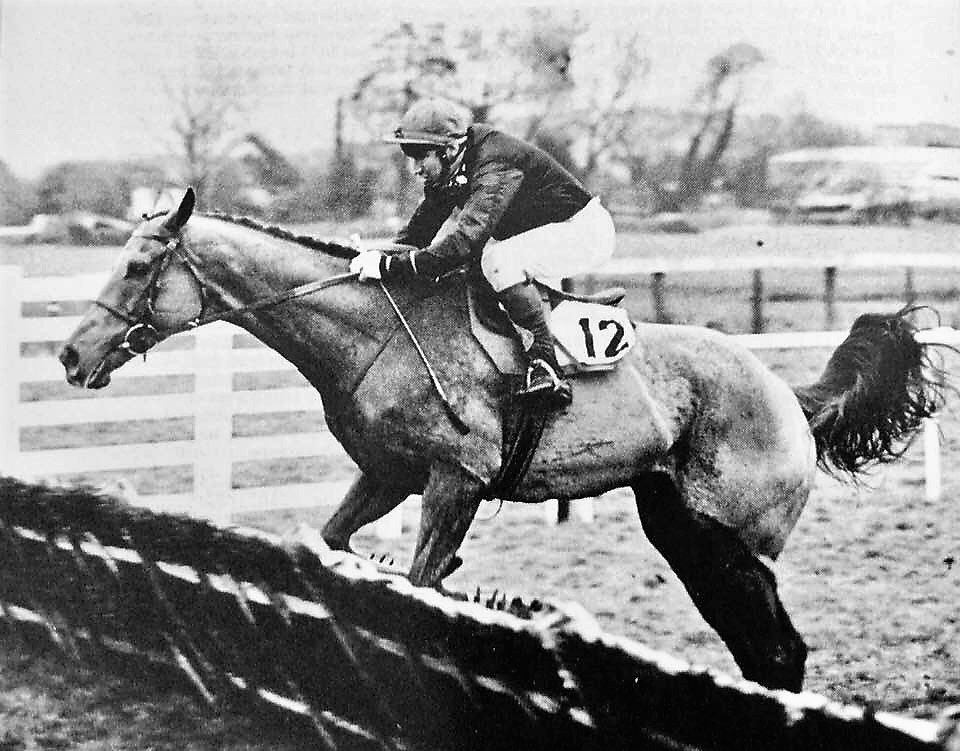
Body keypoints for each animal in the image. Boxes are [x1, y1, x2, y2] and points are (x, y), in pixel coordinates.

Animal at [56, 189, 940, 692]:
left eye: (136, 266)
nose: (69, 355)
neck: (373, 335)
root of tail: (791, 395)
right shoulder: (387, 476)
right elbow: (336, 548)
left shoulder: (457, 480)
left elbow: (420, 583)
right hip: (681, 530)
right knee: (763, 652)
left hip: (727, 538)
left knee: (779, 650)